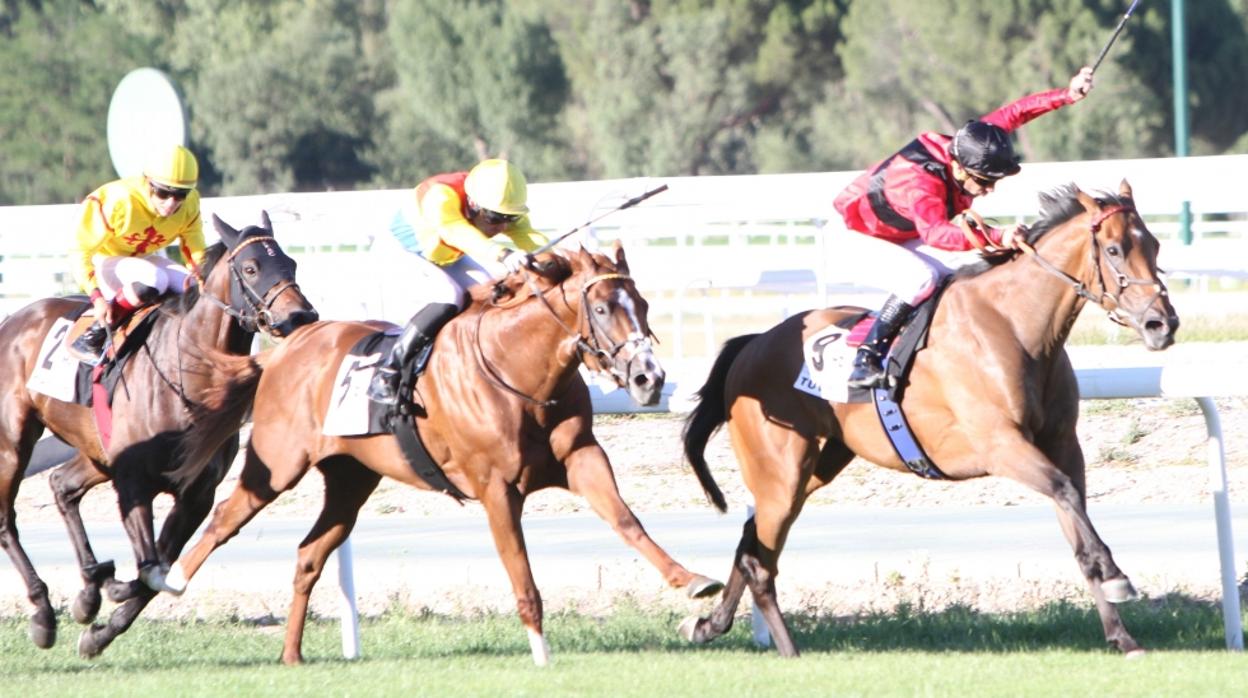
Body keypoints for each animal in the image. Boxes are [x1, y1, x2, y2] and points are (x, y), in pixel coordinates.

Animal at [0, 212, 316, 654]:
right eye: (252, 267)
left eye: (292, 264)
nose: (302, 316)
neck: (191, 370)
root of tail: (13, 318)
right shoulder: (134, 481)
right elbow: (150, 567)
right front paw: (107, 589)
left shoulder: (196, 494)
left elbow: (158, 574)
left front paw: (97, 630)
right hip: (13, 442)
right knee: (7, 519)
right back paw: (44, 613)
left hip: (96, 453)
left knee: (63, 485)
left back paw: (87, 591)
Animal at [170, 244, 728, 664]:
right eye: (604, 308)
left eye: (644, 306)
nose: (649, 377)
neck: (518, 370)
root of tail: (285, 350)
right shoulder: (497, 489)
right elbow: (520, 571)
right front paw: (541, 654)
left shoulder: (582, 458)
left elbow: (626, 520)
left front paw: (692, 581)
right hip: (279, 461)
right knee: (224, 518)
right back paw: (170, 580)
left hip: (352, 478)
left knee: (310, 553)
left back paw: (291, 654)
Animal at [678, 181, 1173, 659]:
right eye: (1114, 250)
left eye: (1154, 245)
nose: (1162, 324)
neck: (1015, 325)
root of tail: (753, 343)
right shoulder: (1002, 445)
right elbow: (1067, 495)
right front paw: (1117, 576)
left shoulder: (1062, 446)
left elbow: (1077, 527)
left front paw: (1122, 636)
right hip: (780, 472)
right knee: (762, 561)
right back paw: (788, 651)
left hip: (817, 465)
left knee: (751, 540)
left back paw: (709, 625)